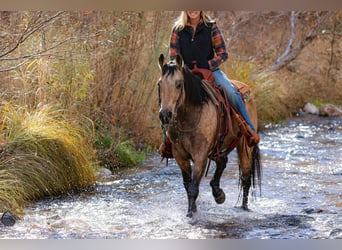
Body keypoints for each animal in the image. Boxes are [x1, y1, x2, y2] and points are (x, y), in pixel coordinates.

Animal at [158, 53, 262, 218]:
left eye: (179, 84)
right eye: (159, 85)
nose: (165, 115)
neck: (189, 117)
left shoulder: (201, 155)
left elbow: (194, 187)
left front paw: (190, 215)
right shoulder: (180, 155)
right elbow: (188, 185)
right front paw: (193, 209)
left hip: (245, 146)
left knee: (246, 177)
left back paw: (244, 207)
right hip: (219, 146)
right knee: (223, 161)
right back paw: (218, 194)